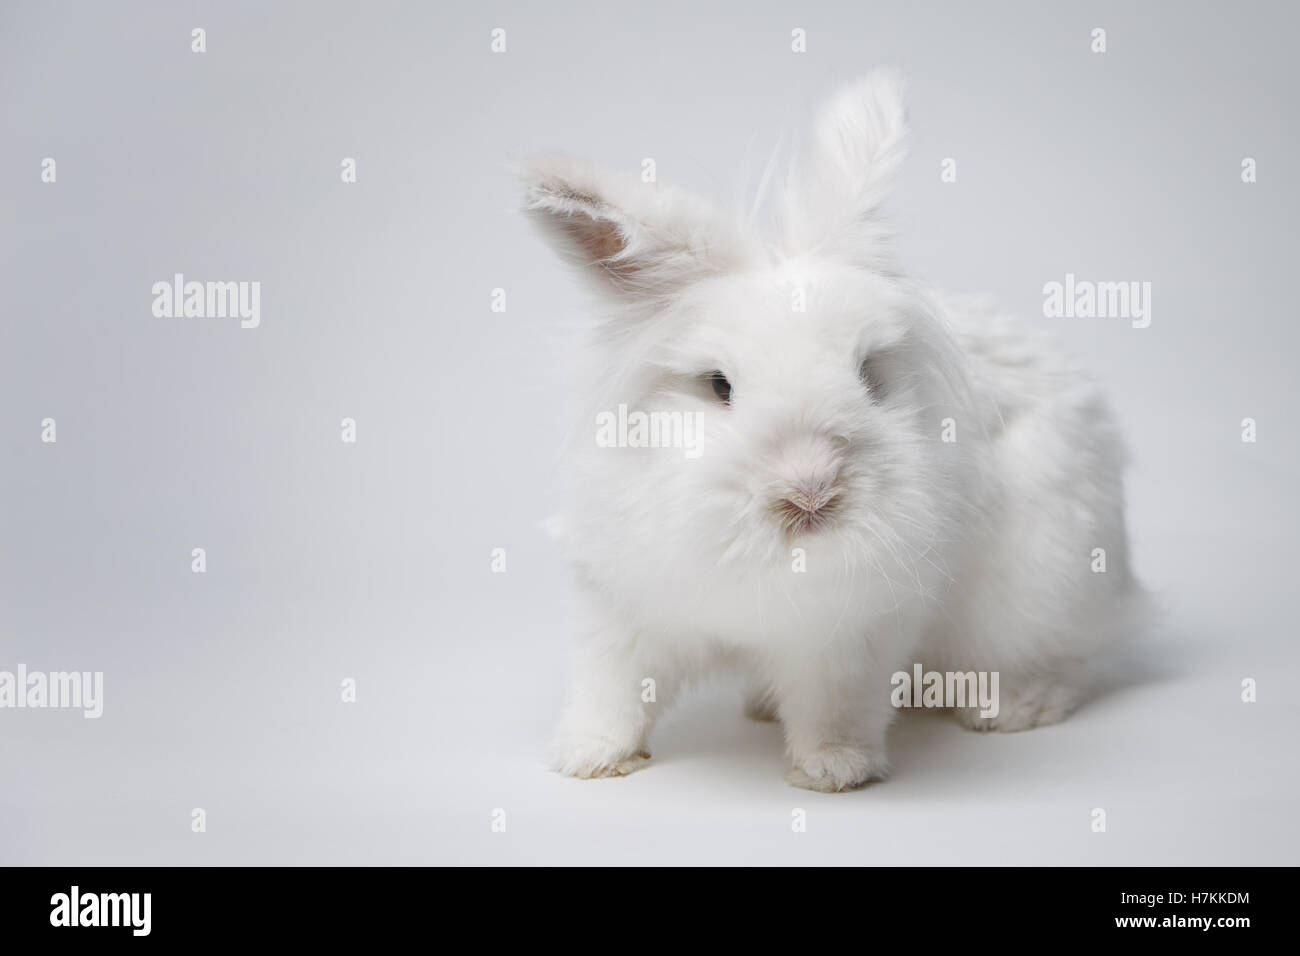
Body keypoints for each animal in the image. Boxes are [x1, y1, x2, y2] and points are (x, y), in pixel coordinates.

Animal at [518, 69, 1145, 792]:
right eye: (719, 386)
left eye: (869, 375)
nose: (811, 490)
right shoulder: (618, 612)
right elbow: (612, 692)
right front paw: (588, 759)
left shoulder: (854, 633)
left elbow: (836, 704)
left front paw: (832, 771)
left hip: (1044, 588)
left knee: (1058, 659)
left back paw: (1012, 710)